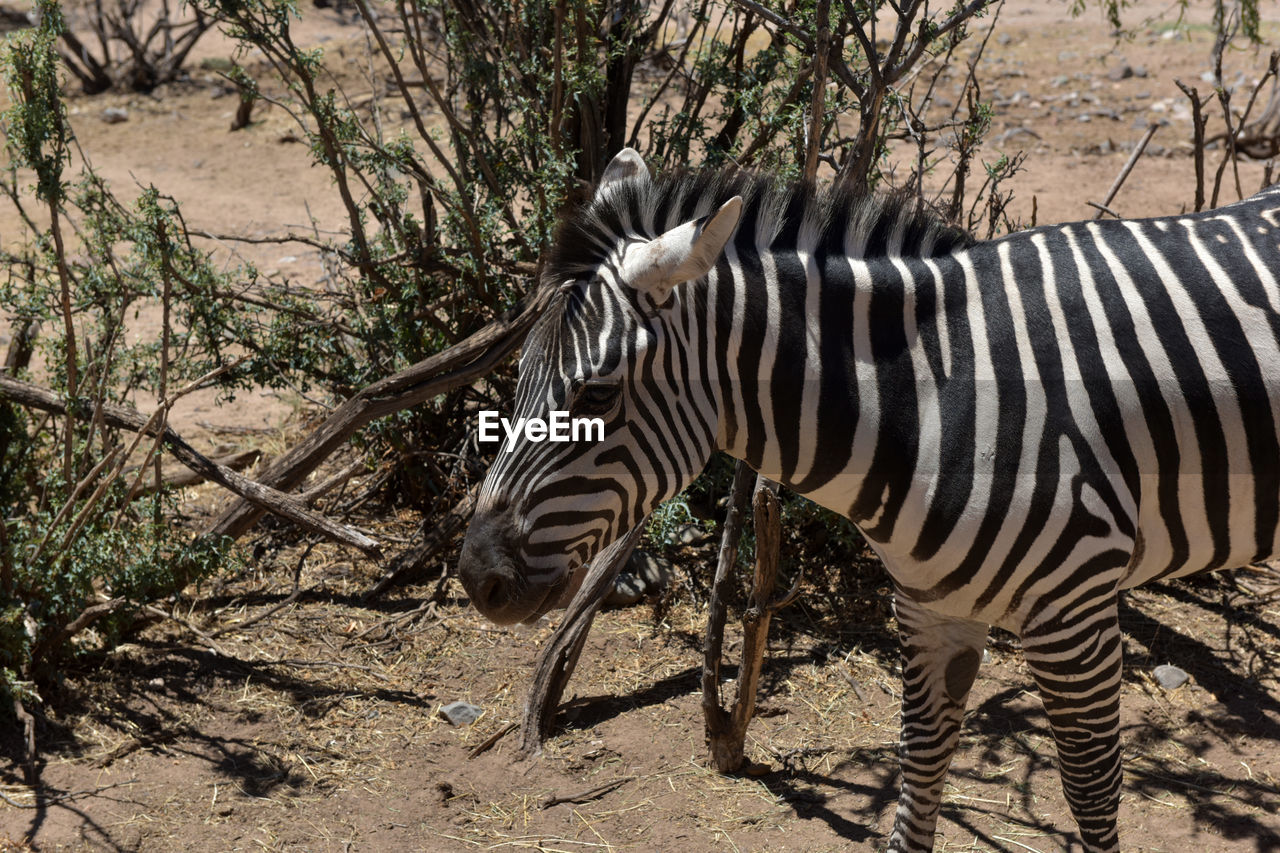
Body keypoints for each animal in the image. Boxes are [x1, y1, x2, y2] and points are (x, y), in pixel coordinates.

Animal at [455, 149, 1274, 845]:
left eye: (595, 393)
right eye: (519, 378)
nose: (476, 578)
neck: (935, 399)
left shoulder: (1074, 610)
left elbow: (1092, 796)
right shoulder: (932, 609)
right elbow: (918, 777)